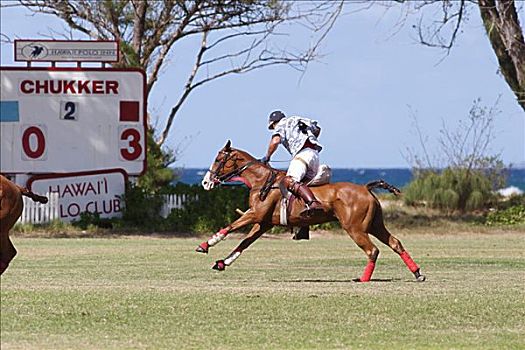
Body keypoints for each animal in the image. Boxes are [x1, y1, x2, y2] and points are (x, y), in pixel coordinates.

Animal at [194, 141, 424, 284]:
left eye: (218, 159)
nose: (205, 182)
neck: (261, 181)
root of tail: (365, 188)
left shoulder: (255, 215)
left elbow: (231, 227)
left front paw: (205, 245)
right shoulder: (264, 223)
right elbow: (244, 243)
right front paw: (223, 262)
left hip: (355, 227)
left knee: (372, 250)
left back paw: (363, 278)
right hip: (375, 224)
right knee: (395, 243)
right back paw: (417, 273)